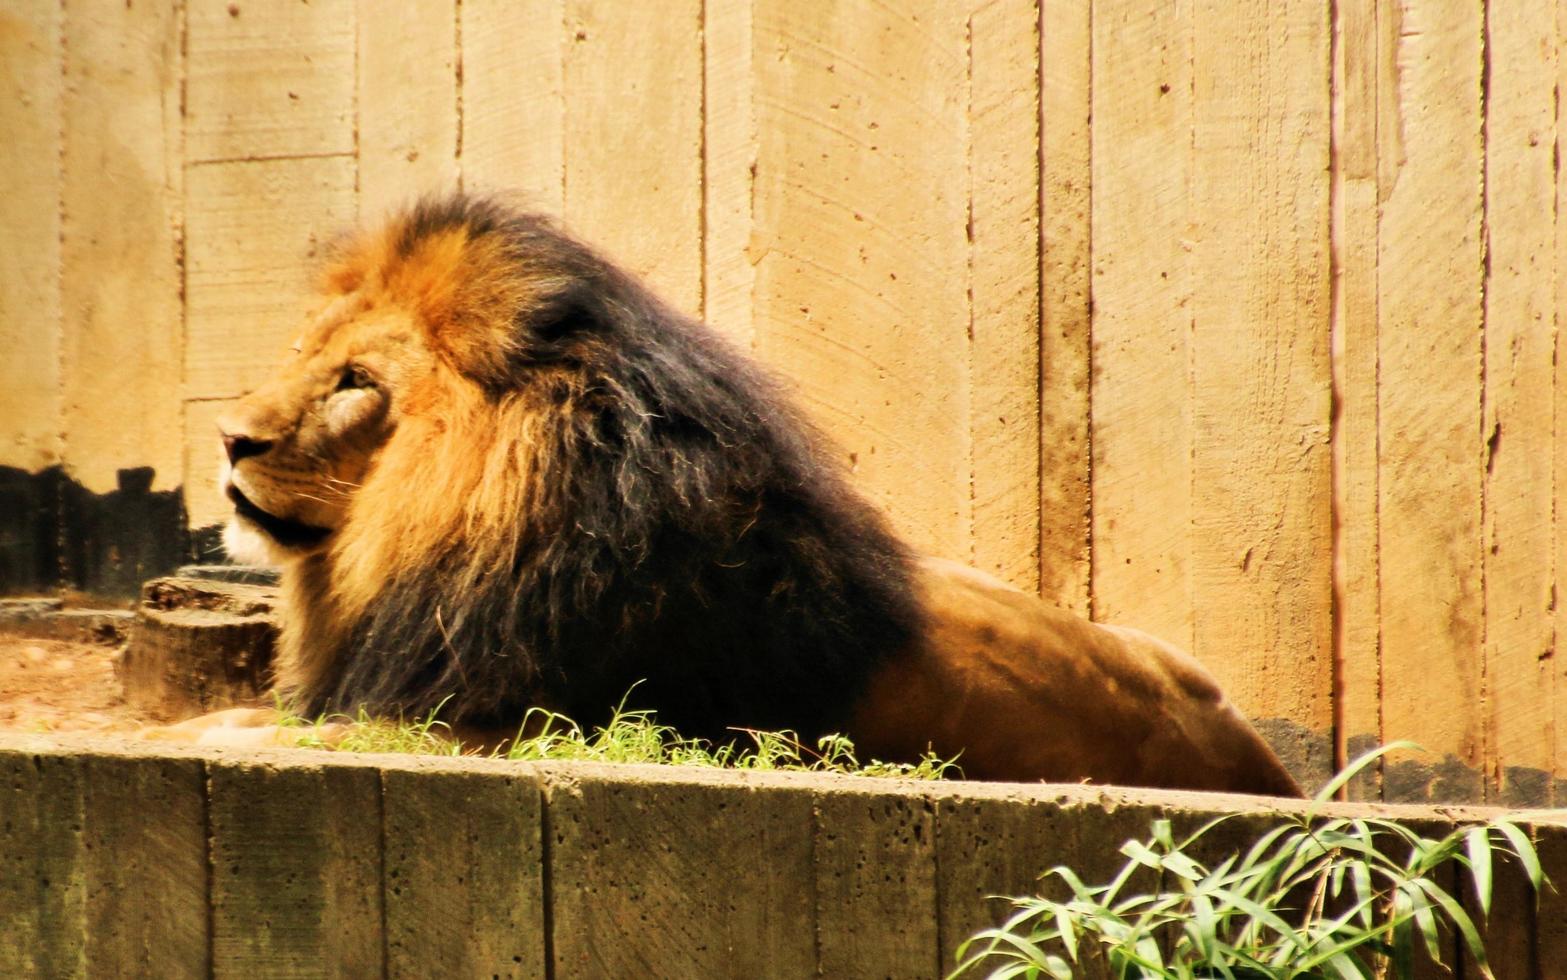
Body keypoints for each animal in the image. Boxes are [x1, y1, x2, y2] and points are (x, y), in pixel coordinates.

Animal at [165, 192, 1303, 796]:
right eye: (306, 354)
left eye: (357, 382)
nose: (227, 438)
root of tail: (1269, 772)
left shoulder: (503, 720)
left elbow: (275, 732)